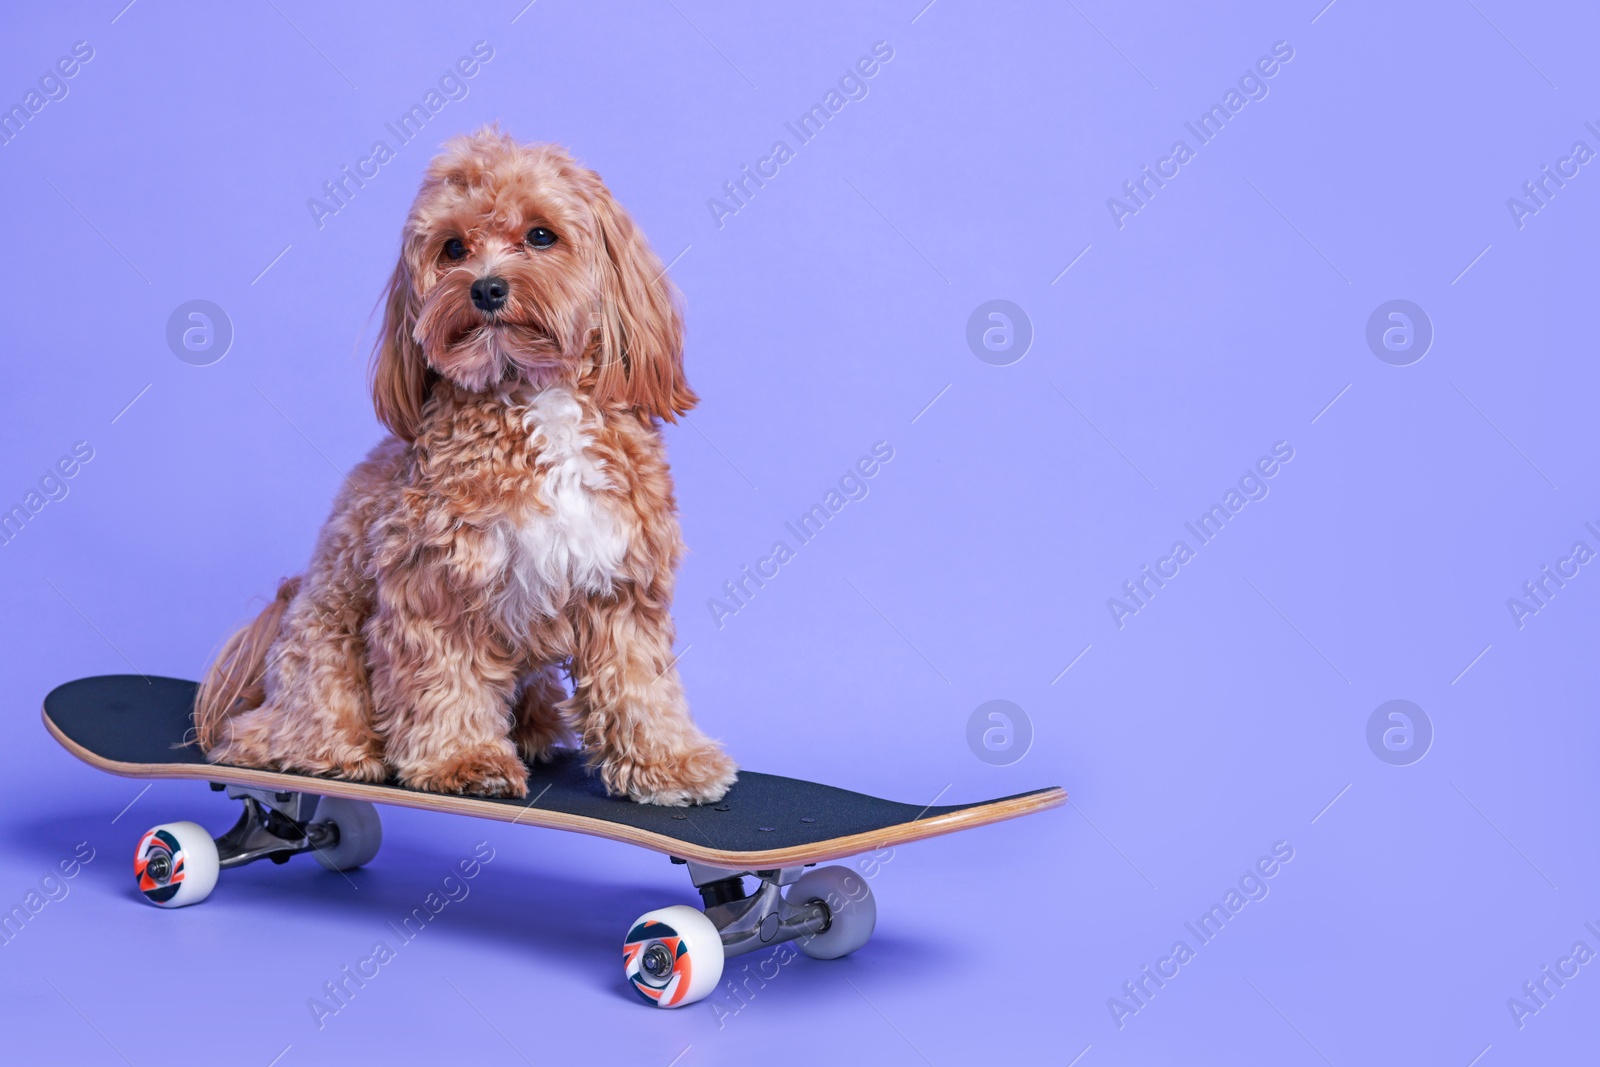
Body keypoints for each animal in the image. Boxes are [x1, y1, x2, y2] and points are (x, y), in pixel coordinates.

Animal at [195, 129, 736, 806]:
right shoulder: (436, 582)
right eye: (453, 247)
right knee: (289, 725)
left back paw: (535, 731)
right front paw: (462, 760)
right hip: (323, 643)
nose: (485, 289)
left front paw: (668, 761)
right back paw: (337, 752)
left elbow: (639, 681)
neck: (536, 397)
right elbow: (445, 679)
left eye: (540, 235)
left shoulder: (623, 582)